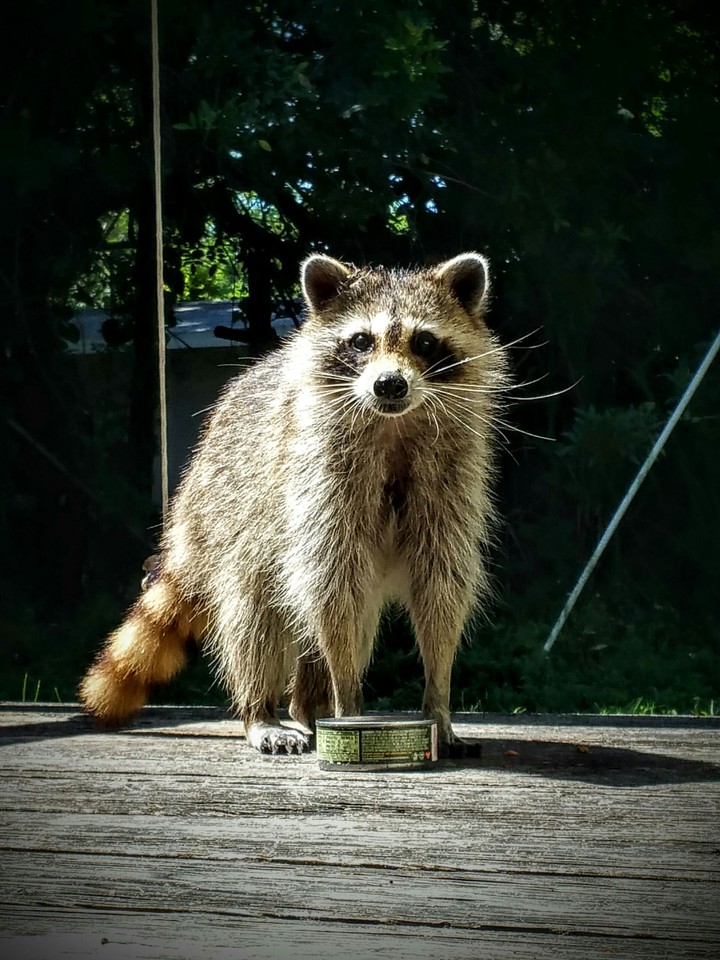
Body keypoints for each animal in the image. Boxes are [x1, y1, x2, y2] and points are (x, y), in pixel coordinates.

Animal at [79, 253, 510, 754]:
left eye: (424, 341)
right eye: (361, 341)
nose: (389, 385)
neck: (393, 425)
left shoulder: (451, 485)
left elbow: (440, 589)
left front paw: (437, 699)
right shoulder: (317, 483)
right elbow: (333, 595)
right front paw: (348, 699)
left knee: (343, 620)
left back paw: (308, 705)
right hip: (232, 519)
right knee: (255, 619)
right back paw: (261, 710)